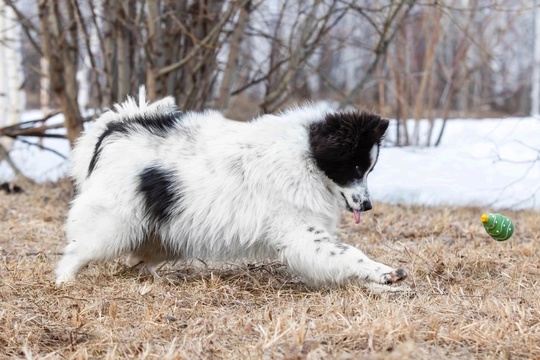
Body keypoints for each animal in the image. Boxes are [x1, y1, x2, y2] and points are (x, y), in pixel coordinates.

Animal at [57, 90, 408, 290]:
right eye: (356, 168)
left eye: (369, 170)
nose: (367, 206)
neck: (307, 155)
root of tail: (116, 127)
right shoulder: (300, 232)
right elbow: (348, 254)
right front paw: (383, 272)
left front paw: (384, 283)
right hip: (112, 225)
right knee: (75, 253)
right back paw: (64, 283)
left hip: (164, 234)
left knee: (139, 260)